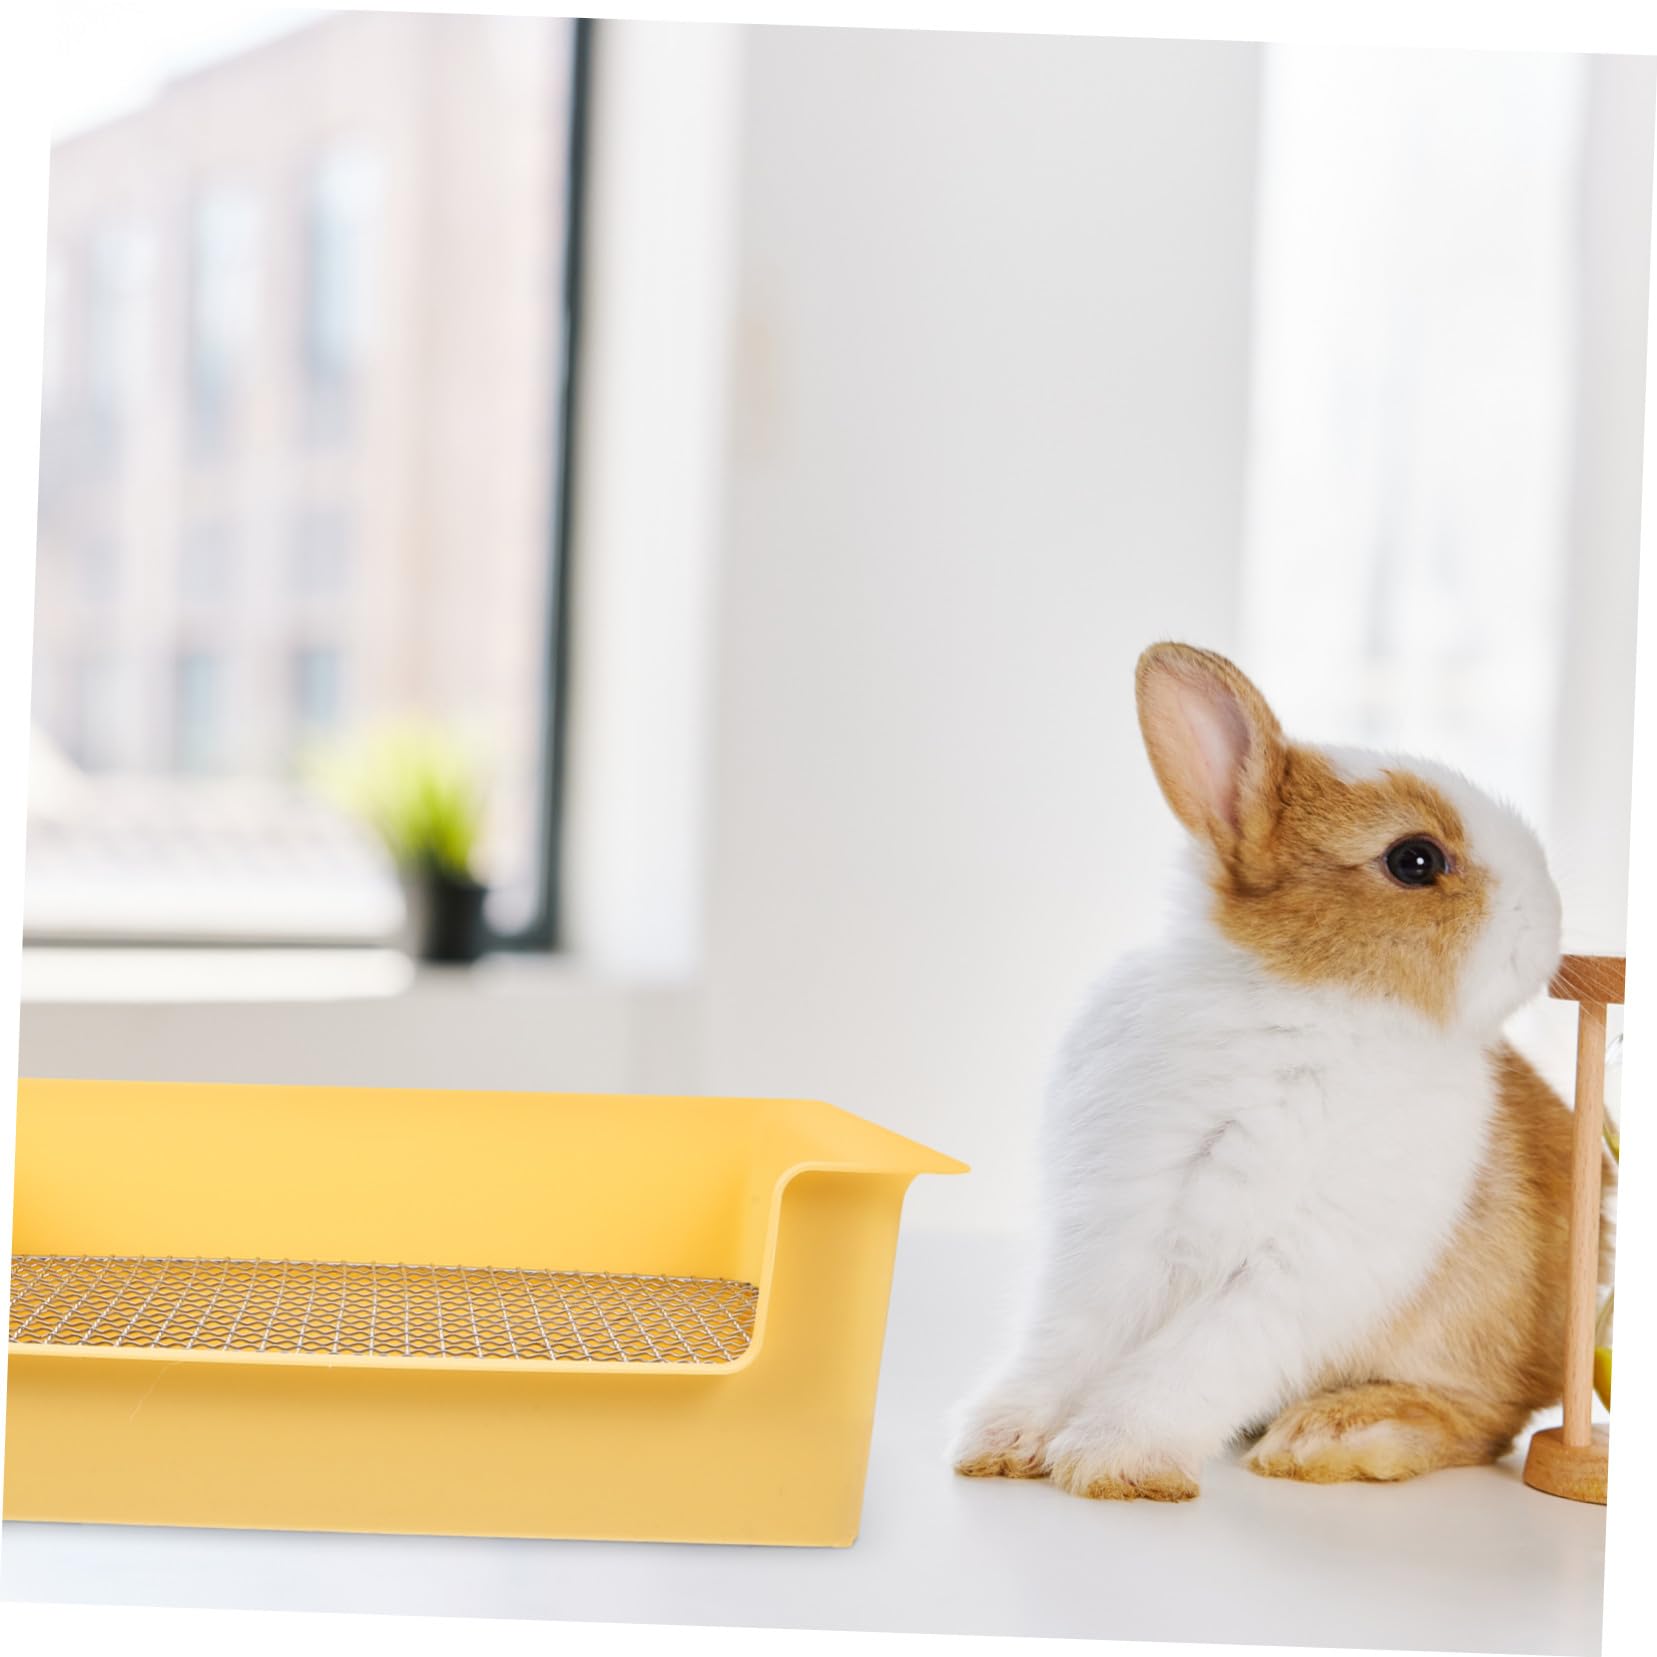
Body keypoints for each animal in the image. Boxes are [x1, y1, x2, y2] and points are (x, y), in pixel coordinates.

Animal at [948, 640, 1585, 1502]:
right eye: (1414, 859)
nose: (1550, 914)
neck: (1297, 1004)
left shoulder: (1294, 1269)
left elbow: (1194, 1358)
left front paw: (1112, 1460)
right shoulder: (1111, 1232)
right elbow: (1066, 1341)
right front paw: (1001, 1443)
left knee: (1480, 1421)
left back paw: (1331, 1435)